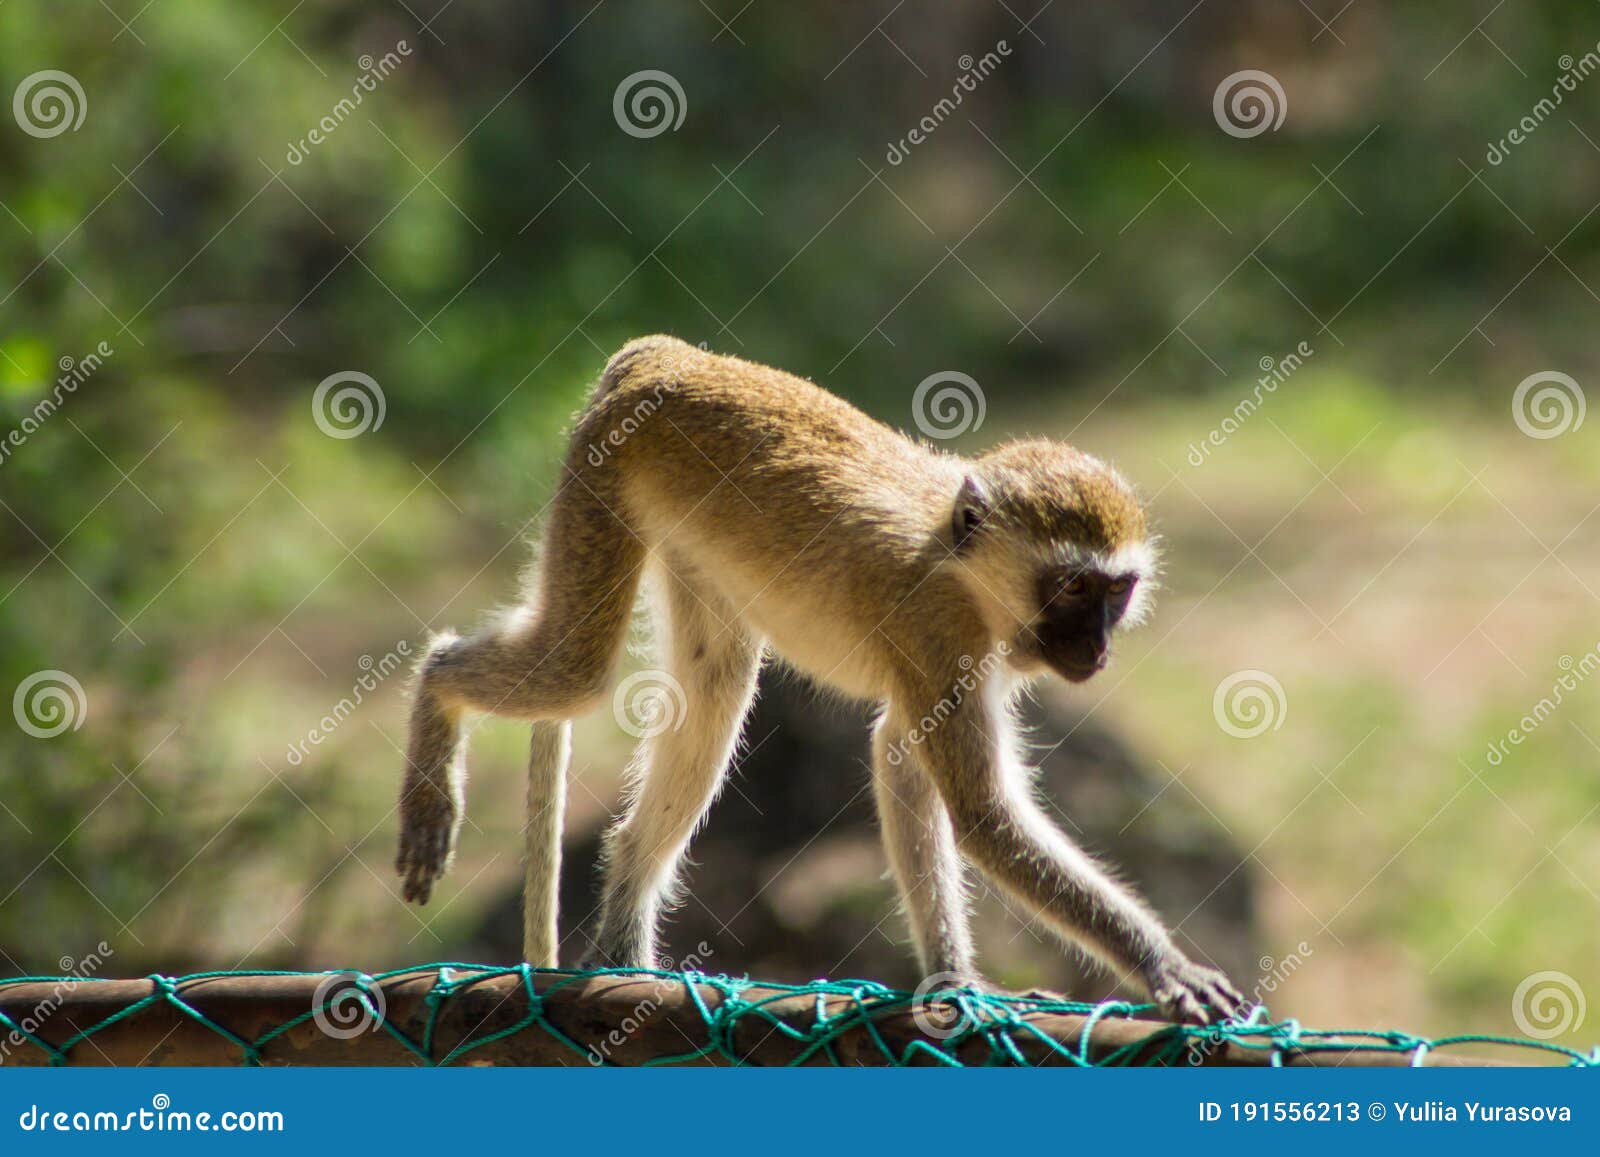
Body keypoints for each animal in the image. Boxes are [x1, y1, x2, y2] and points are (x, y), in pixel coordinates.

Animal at [393, 334, 1241, 1024]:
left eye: (1114, 592)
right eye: (1071, 589)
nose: (1096, 646)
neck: (963, 566)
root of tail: (667, 356)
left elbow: (900, 753)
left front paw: (954, 979)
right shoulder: (939, 634)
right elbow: (983, 815)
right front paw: (1161, 963)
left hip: (676, 528)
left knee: (713, 689)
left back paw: (622, 942)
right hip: (606, 471)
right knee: (577, 667)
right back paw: (437, 699)